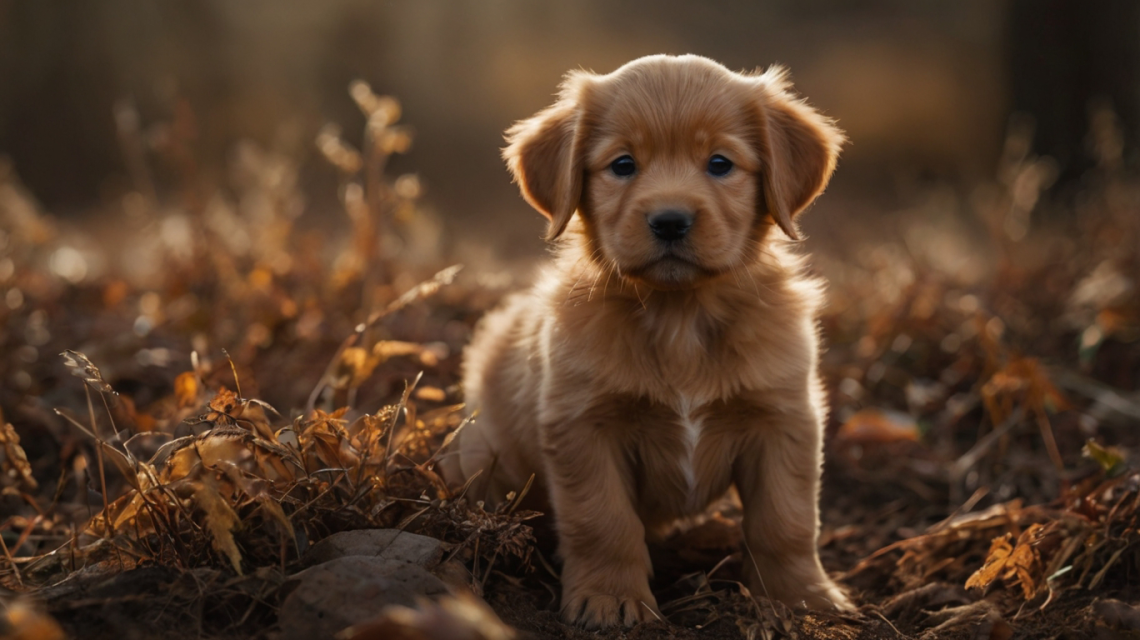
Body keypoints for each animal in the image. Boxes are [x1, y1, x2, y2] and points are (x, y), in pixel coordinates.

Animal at [440, 53, 852, 625]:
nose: (670, 221)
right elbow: (603, 521)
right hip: (484, 457)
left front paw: (803, 597)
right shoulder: (583, 426)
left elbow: (785, 519)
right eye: (622, 165)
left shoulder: (784, 419)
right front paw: (610, 598)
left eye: (720, 163)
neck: (680, 316)